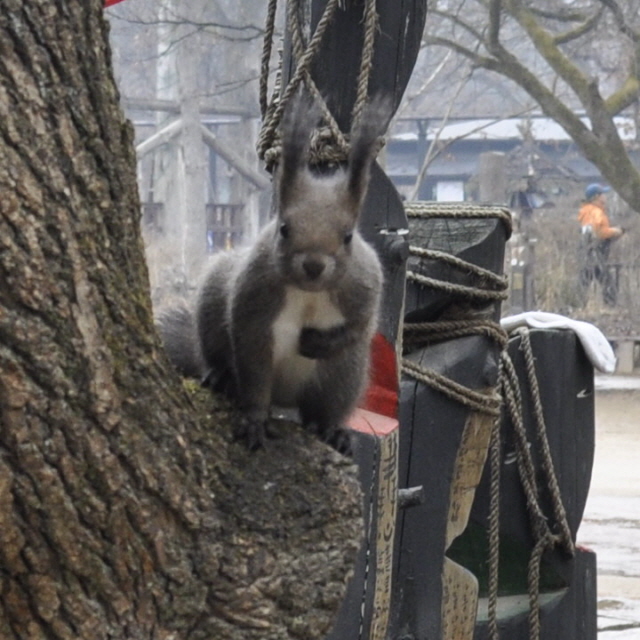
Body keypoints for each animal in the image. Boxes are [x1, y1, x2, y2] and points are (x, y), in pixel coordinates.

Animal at [157, 96, 387, 454]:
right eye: (283, 228)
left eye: (348, 236)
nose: (313, 266)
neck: (308, 292)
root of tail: (285, 400)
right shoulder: (254, 297)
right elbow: (252, 360)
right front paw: (254, 420)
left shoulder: (364, 286)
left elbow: (360, 326)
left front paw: (314, 342)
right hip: (213, 299)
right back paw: (222, 377)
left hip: (342, 374)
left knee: (325, 405)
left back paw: (331, 429)